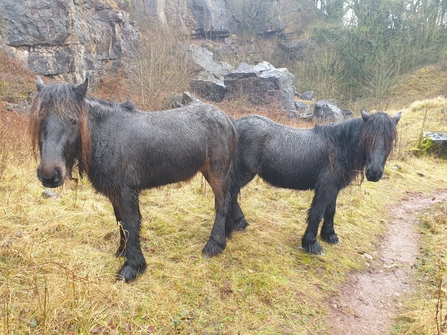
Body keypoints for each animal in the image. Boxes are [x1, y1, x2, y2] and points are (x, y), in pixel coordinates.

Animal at [28, 79, 238, 284]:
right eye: (40, 119)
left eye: (73, 120)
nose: (49, 174)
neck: (108, 136)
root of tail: (227, 118)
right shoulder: (115, 194)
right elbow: (120, 222)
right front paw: (122, 251)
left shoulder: (126, 192)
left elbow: (131, 223)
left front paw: (132, 267)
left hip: (217, 173)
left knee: (222, 202)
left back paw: (214, 245)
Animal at [228, 110, 402, 255]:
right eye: (367, 137)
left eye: (391, 138)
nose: (374, 173)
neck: (338, 147)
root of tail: (234, 124)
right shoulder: (325, 188)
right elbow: (317, 213)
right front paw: (311, 244)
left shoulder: (334, 189)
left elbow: (330, 212)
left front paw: (330, 236)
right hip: (243, 174)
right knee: (230, 193)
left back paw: (240, 222)